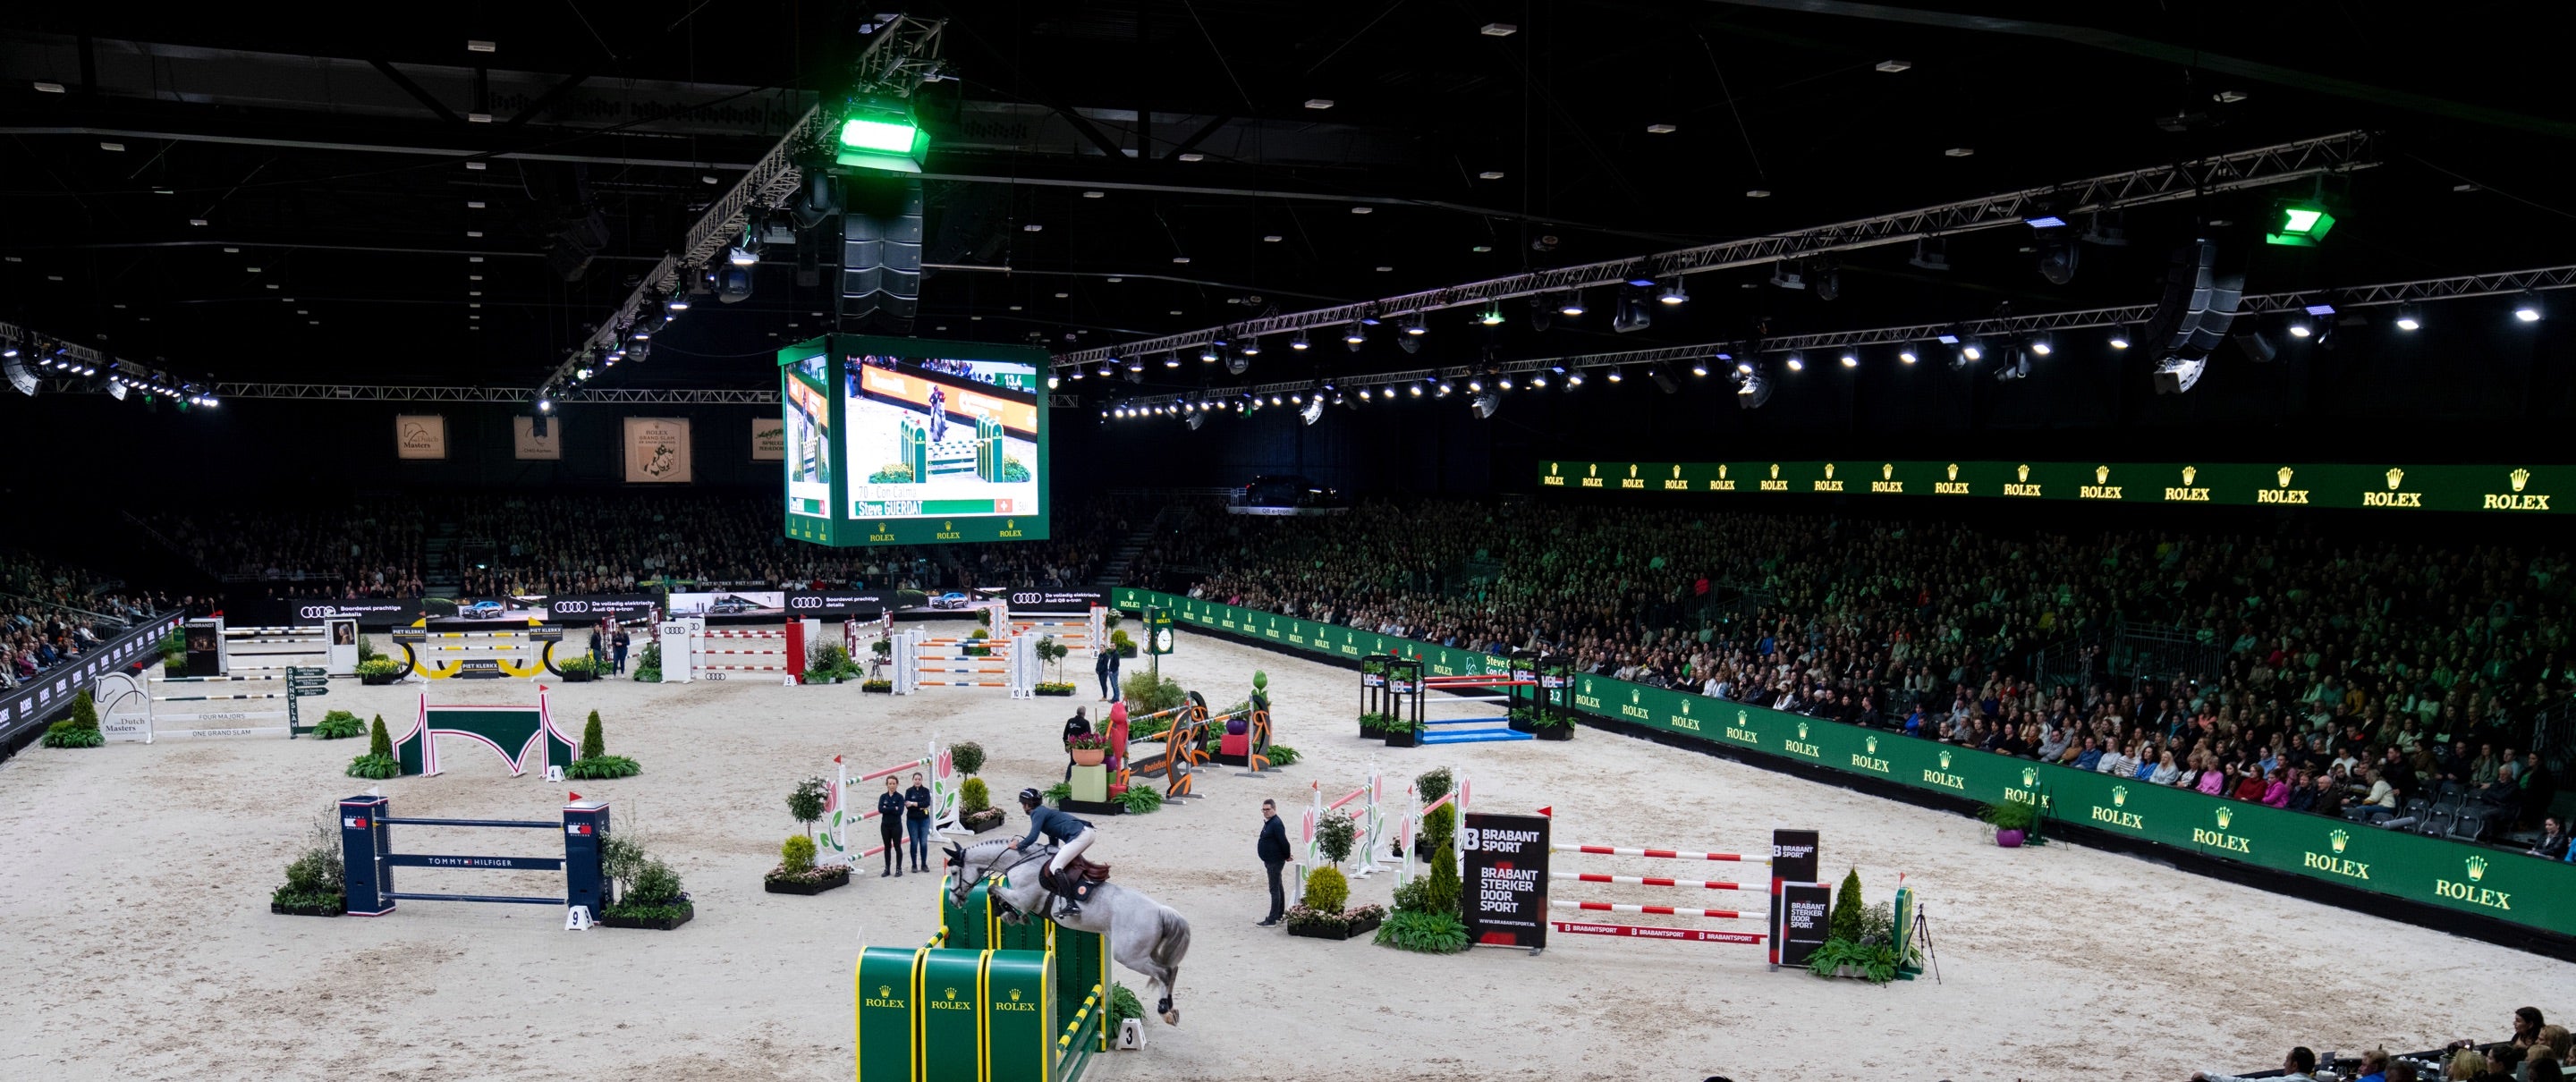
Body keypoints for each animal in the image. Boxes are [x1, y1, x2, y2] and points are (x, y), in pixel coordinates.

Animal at [943, 840, 1190, 1025]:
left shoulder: (1022, 899)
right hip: (1142, 954)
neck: (1019, 862)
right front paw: (1011, 915)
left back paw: (1165, 1011)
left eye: (954, 871)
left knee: (1165, 972)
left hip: (1129, 956)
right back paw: (1171, 1009)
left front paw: (1009, 915)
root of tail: (1160, 911)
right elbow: (995, 890)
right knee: (1173, 969)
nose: (954, 900)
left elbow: (995, 889)